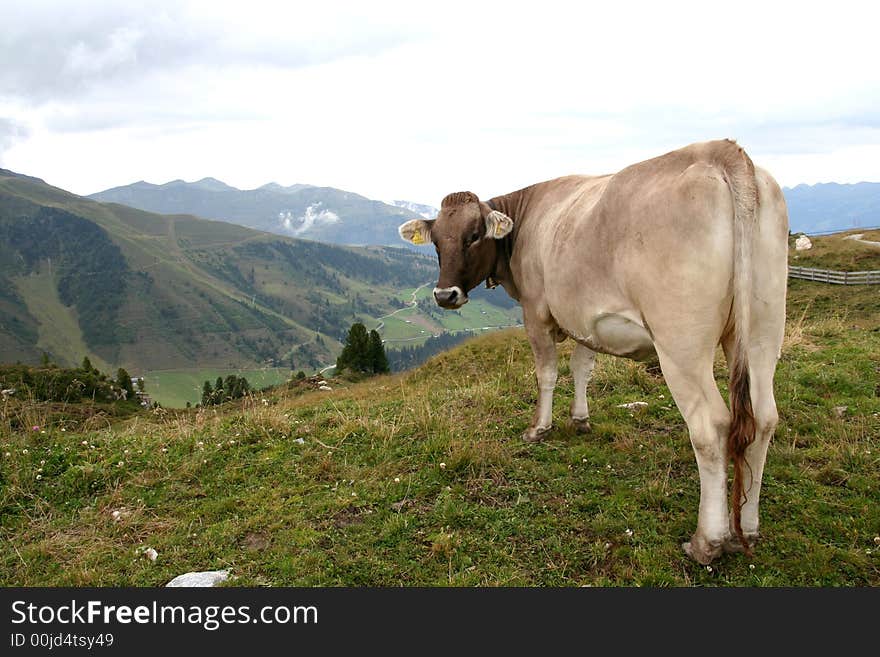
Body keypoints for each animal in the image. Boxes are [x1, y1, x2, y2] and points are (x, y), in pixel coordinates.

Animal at [400, 140, 792, 564]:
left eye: (473, 235)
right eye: (436, 240)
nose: (444, 295)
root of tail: (721, 151)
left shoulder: (536, 311)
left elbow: (547, 373)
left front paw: (539, 428)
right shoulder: (585, 319)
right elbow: (581, 367)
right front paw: (580, 419)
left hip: (681, 340)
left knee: (710, 426)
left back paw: (708, 541)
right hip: (764, 325)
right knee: (763, 418)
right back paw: (746, 530)